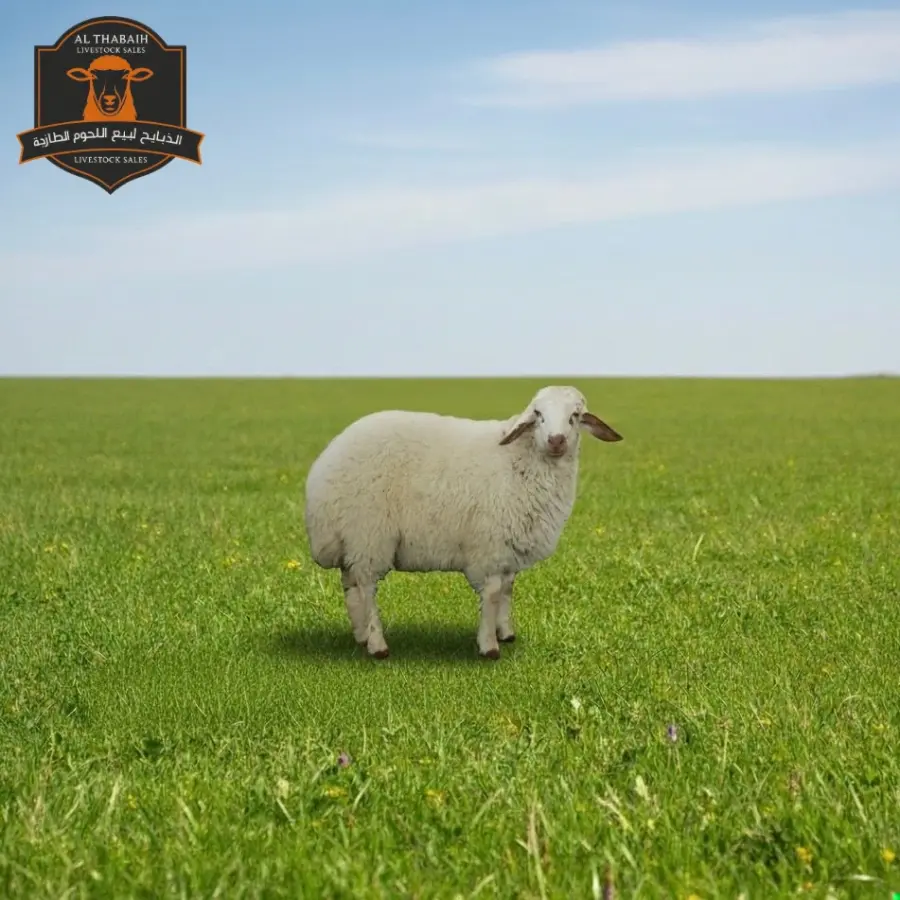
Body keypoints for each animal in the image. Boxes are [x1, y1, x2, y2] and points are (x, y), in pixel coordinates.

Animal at [303, 385, 623, 660]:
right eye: (538, 414)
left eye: (575, 416)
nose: (556, 440)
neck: (521, 460)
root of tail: (325, 465)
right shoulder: (489, 547)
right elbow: (492, 595)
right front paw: (489, 646)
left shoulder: (509, 549)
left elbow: (507, 591)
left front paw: (506, 633)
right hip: (368, 534)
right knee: (366, 587)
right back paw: (377, 644)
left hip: (351, 538)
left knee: (350, 585)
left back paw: (360, 636)